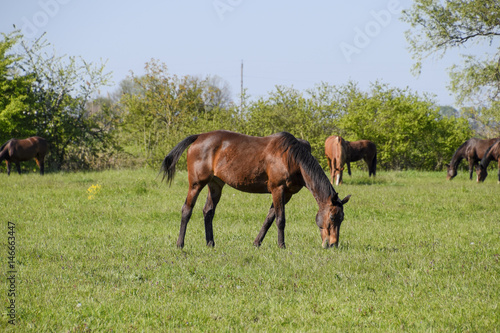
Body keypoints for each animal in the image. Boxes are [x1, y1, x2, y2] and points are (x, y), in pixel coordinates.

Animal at [162, 130, 350, 249]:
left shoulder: (287, 194)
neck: (292, 157)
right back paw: (180, 244)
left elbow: (269, 219)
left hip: (215, 185)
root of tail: (198, 137)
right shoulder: (278, 190)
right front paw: (281, 245)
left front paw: (257, 243)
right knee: (186, 210)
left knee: (208, 212)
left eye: (342, 219)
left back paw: (210, 243)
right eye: (332, 217)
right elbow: (280, 219)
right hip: (196, 184)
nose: (333, 244)